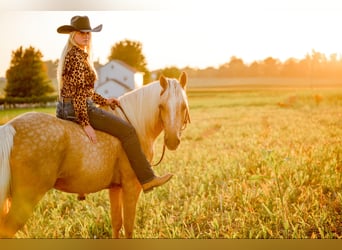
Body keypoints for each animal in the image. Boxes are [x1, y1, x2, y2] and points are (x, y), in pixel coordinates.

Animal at [0, 71, 190, 237]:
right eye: (161, 106)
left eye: (183, 106)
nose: (172, 140)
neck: (135, 125)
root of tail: (10, 128)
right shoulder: (130, 187)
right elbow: (128, 228)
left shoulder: (115, 188)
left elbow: (117, 224)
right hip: (25, 199)